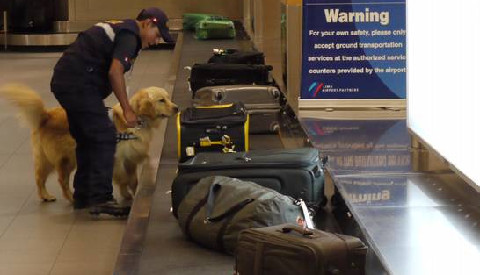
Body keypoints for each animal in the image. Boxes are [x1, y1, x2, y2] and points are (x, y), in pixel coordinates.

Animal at [0, 85, 178, 204]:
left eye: (168, 98)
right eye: (161, 100)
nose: (177, 108)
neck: (137, 120)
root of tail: (46, 116)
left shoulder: (130, 159)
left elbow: (133, 179)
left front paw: (134, 193)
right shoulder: (117, 159)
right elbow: (123, 179)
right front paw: (126, 194)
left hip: (46, 158)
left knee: (39, 177)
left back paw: (45, 195)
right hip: (67, 159)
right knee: (61, 180)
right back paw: (72, 198)